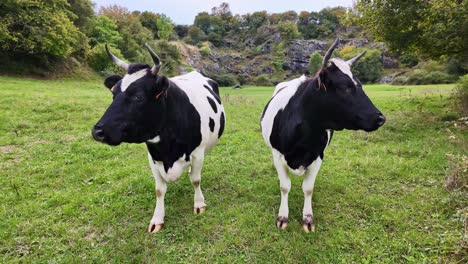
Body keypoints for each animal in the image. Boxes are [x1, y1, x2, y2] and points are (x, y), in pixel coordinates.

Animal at [91, 44, 225, 233]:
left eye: (138, 96)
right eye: (113, 94)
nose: (98, 131)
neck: (168, 150)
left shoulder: (198, 153)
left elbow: (196, 180)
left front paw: (199, 204)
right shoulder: (153, 157)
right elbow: (159, 190)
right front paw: (157, 219)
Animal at [260, 39, 384, 233]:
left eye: (360, 85)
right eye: (345, 88)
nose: (380, 118)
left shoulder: (318, 156)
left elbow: (308, 188)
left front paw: (308, 218)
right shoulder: (277, 154)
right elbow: (284, 186)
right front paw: (283, 216)